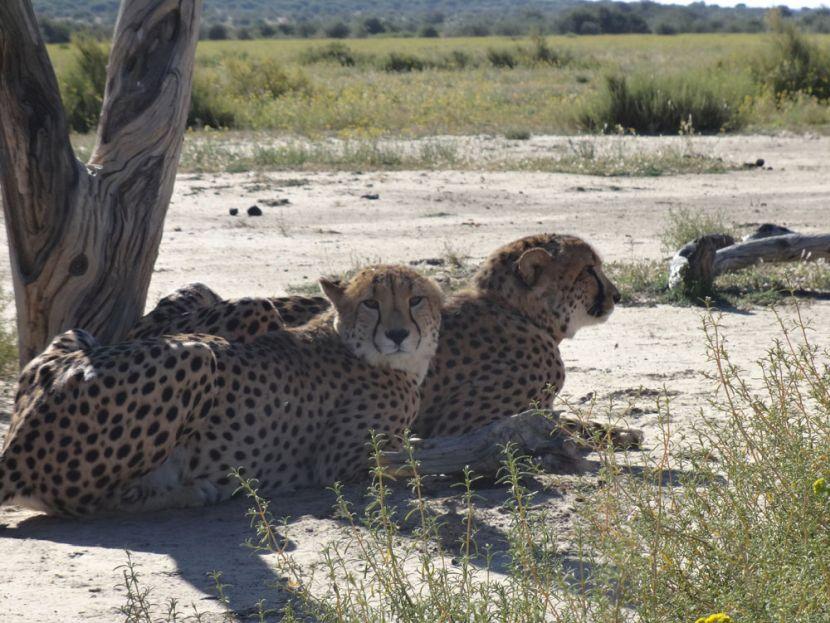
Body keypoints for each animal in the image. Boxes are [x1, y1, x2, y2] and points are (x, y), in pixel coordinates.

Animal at [0, 264, 448, 516]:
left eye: (416, 299)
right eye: (371, 302)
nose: (397, 334)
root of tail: (11, 450)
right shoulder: (340, 461)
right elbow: (409, 462)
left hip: (77, 336)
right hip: (195, 355)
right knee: (86, 503)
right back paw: (192, 492)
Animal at [130, 233, 620, 438]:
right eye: (588, 270)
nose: (617, 294)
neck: (518, 311)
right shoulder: (463, 423)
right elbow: (567, 425)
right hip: (258, 308)